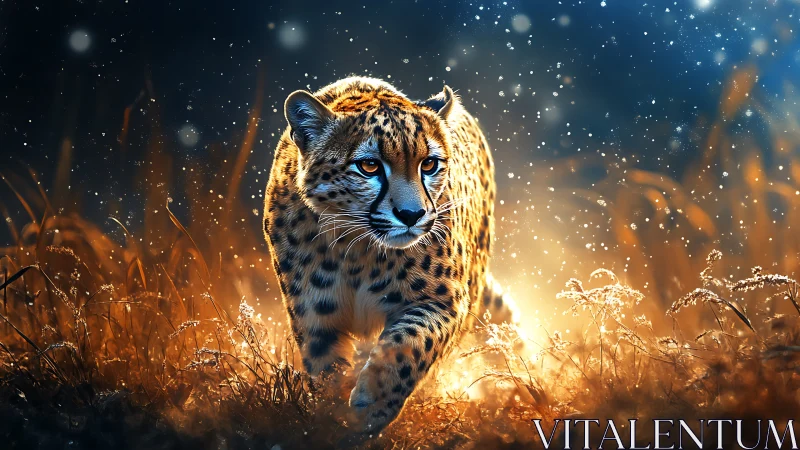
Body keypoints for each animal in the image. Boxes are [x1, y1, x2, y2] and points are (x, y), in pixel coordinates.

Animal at [263, 76, 518, 435]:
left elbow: (411, 344)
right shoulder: (315, 317)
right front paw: (333, 417)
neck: (356, 249)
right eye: (369, 165)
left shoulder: (447, 302)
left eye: (429, 164)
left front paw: (374, 403)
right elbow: (328, 372)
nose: (412, 214)